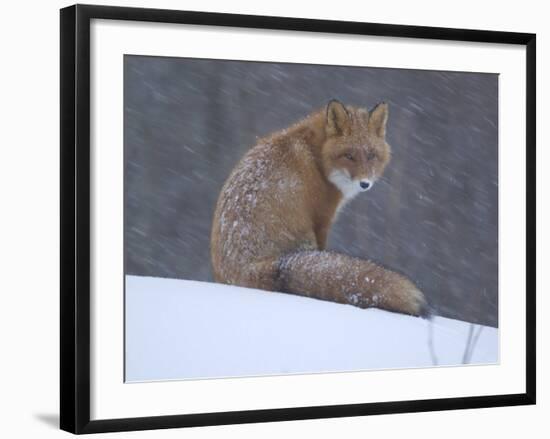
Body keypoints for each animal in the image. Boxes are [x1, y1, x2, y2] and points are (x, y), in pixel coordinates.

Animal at [212, 101, 432, 318]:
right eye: (349, 156)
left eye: (371, 155)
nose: (365, 184)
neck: (317, 156)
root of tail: (245, 269)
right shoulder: (322, 218)